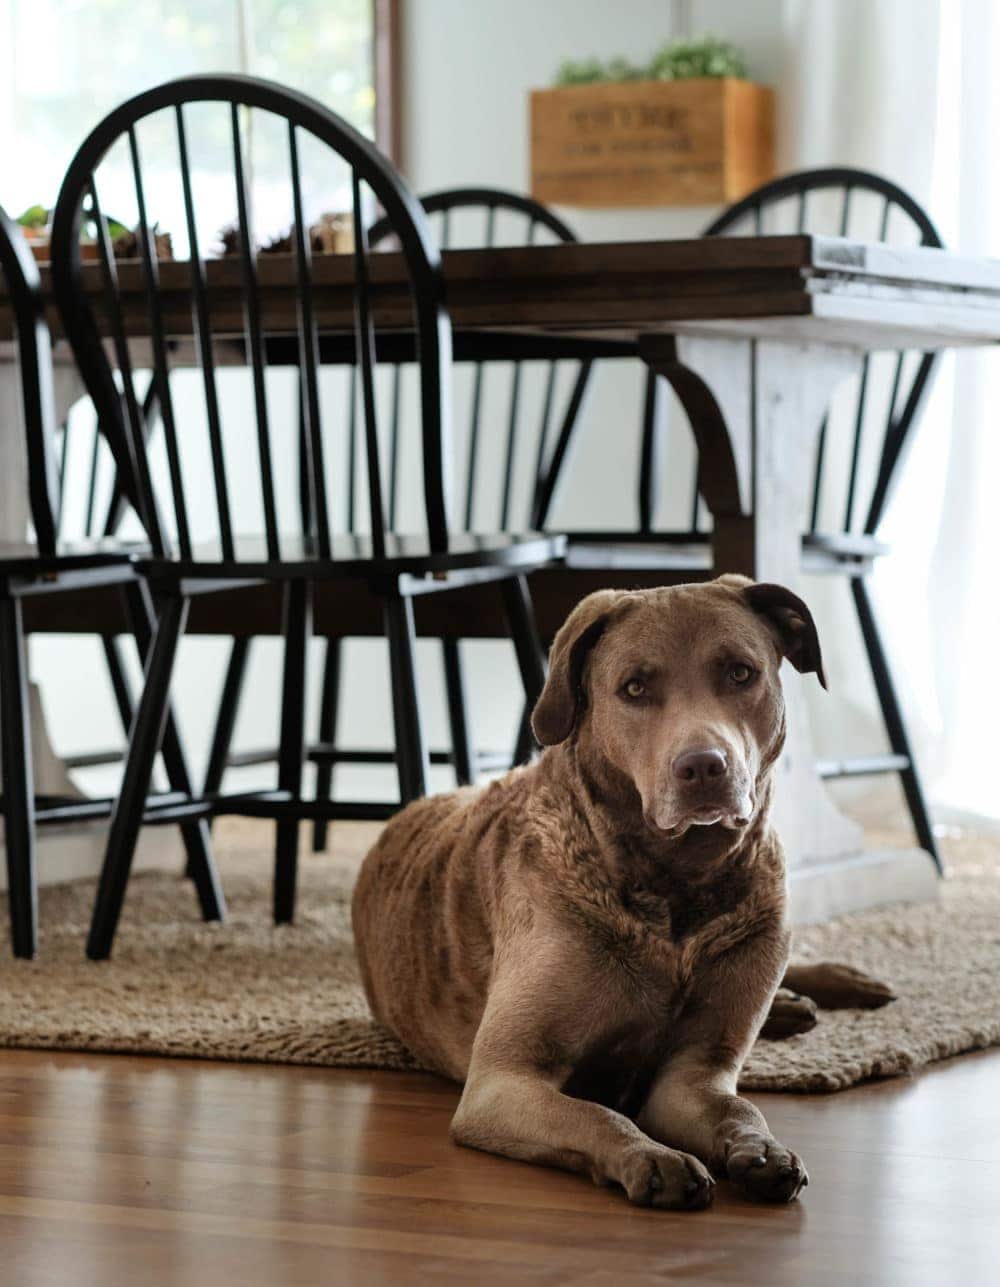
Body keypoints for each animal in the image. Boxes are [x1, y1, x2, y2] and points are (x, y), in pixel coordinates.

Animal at [350, 579, 890, 1209]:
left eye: (740, 673)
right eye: (634, 688)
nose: (702, 766)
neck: (675, 885)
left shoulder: (693, 1075)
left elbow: (738, 1107)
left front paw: (763, 1151)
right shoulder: (502, 1082)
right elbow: (596, 1115)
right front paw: (653, 1159)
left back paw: (826, 989)